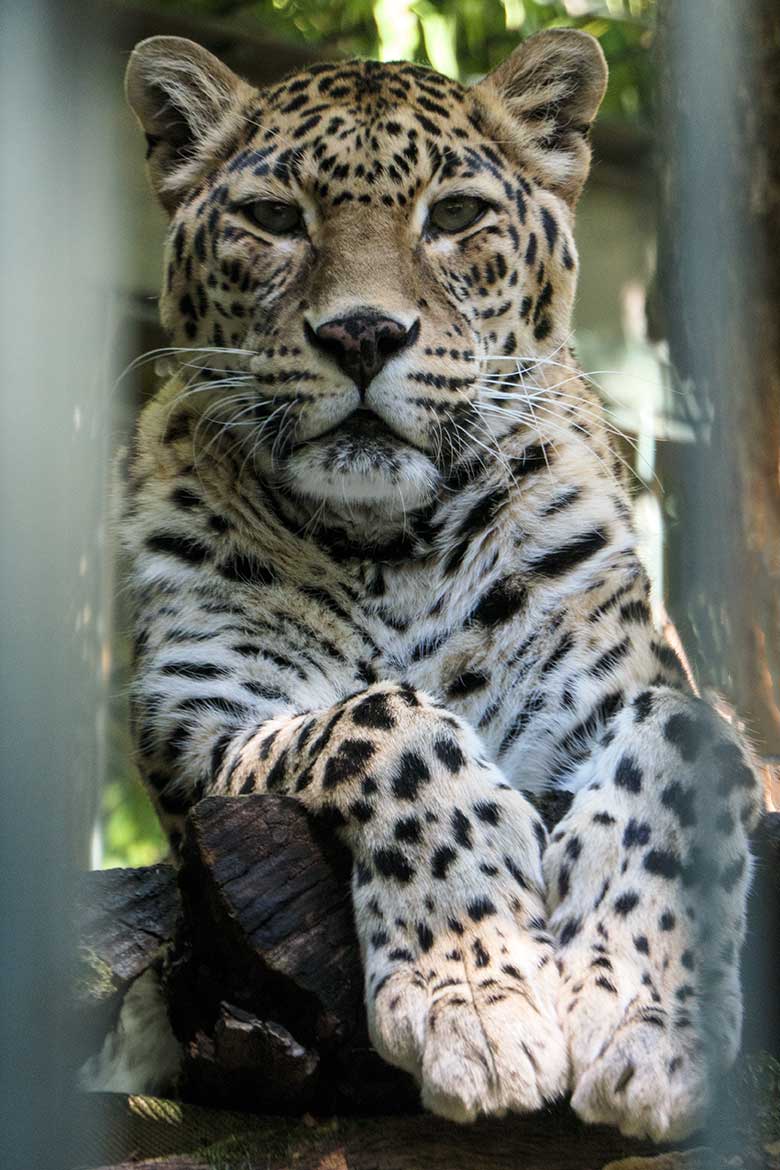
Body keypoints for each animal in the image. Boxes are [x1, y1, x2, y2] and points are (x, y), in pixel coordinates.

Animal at [120, 29, 762, 1141]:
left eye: (455, 216)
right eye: (273, 219)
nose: (362, 335)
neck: (387, 543)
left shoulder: (632, 687)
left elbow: (684, 741)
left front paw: (644, 1021)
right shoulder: (197, 718)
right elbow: (385, 722)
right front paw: (474, 994)